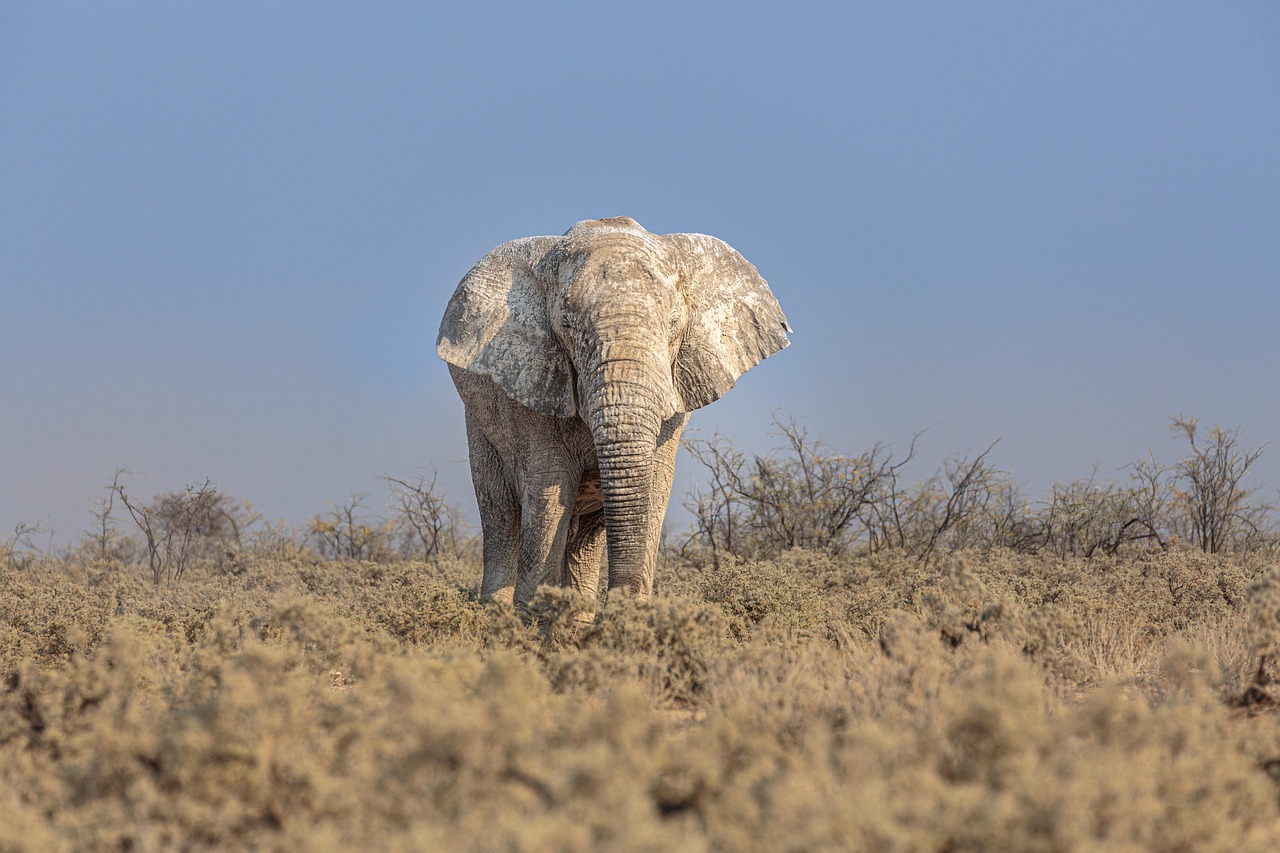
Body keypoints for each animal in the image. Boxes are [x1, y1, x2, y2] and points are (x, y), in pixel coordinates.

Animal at [437, 216, 790, 611]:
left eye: (674, 322)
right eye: (565, 324)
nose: (621, 603)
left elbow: (654, 486)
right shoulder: (530, 381)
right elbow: (548, 489)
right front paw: (532, 617)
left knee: (585, 536)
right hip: (479, 423)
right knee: (501, 515)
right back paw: (494, 612)